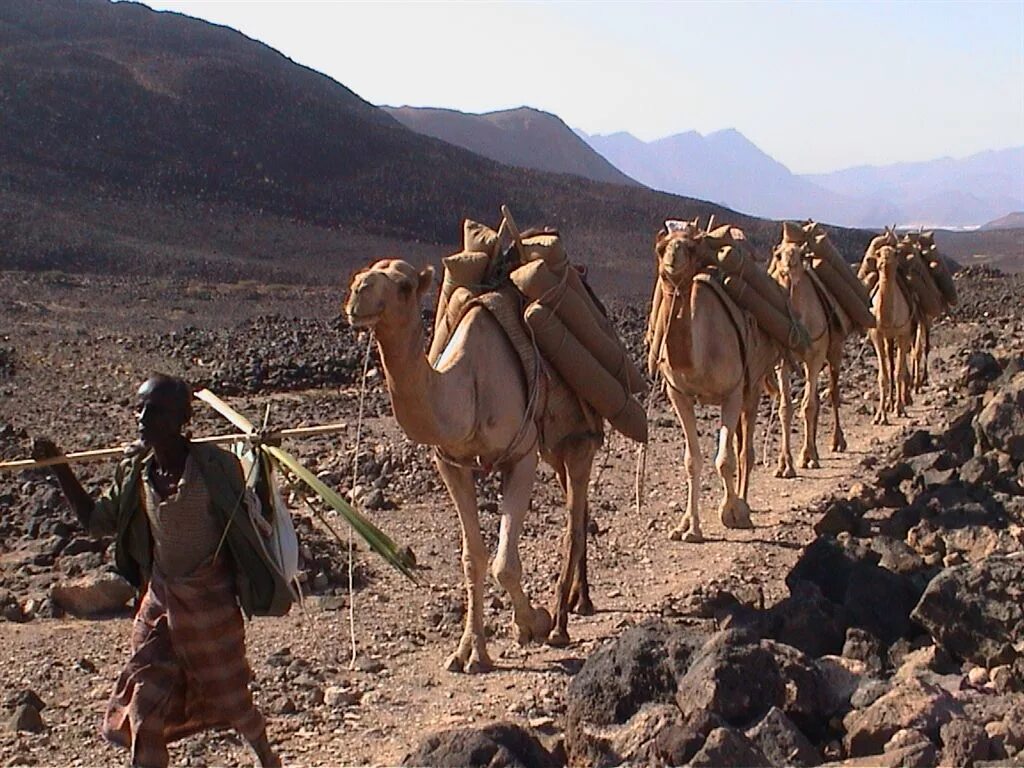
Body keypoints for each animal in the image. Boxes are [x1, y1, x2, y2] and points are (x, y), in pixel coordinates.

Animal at [344, 259, 598, 671]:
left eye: (404, 285)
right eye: (362, 274)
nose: (358, 292)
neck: (469, 389)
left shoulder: (522, 455)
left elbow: (504, 563)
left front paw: (533, 623)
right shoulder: (452, 464)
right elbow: (472, 557)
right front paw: (470, 651)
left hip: (580, 439)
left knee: (574, 522)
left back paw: (562, 621)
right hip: (554, 447)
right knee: (579, 510)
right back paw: (579, 600)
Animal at [651, 225, 778, 544]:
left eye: (691, 248)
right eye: (660, 248)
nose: (672, 260)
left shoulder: (731, 392)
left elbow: (724, 460)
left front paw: (732, 513)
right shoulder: (678, 394)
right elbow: (692, 460)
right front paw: (688, 527)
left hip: (752, 384)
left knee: (744, 450)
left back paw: (743, 504)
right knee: (738, 444)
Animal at [770, 233, 851, 481]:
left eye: (801, 254)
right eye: (778, 255)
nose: (787, 271)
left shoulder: (815, 356)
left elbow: (808, 406)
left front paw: (809, 457)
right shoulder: (782, 361)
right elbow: (786, 408)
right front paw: (784, 465)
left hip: (834, 351)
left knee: (833, 392)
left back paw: (836, 442)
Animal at [864, 246, 913, 428]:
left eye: (895, 253)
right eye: (878, 254)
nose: (886, 259)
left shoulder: (903, 333)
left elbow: (899, 372)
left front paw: (900, 409)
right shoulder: (877, 335)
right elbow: (883, 376)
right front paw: (880, 416)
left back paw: (901, 402)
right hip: (887, 338)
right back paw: (889, 405)